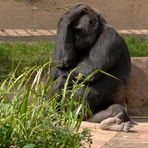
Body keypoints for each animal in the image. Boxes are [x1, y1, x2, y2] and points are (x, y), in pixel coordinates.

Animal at [51, 3, 134, 131]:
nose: (75, 39)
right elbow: (64, 63)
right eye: (72, 32)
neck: (99, 31)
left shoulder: (110, 37)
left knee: (116, 109)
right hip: (88, 116)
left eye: (78, 30)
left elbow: (89, 69)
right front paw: (68, 17)